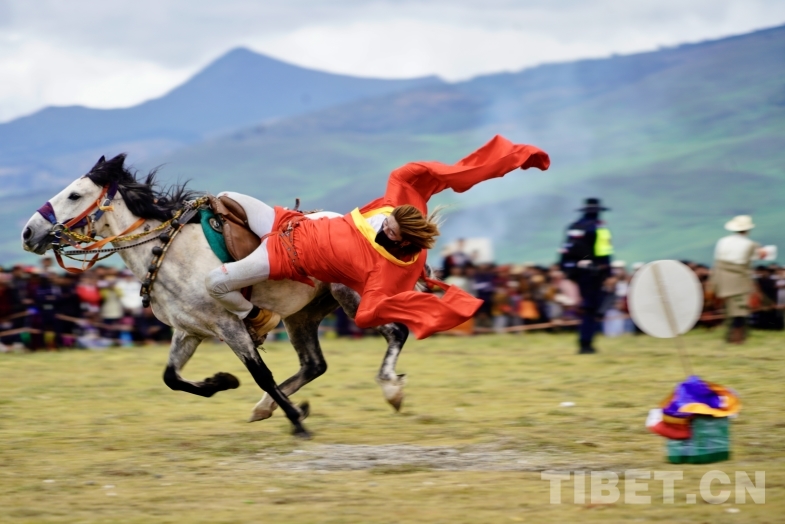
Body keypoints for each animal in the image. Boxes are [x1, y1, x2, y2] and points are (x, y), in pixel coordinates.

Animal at [21, 154, 410, 438]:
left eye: (74, 195)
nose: (28, 232)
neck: (169, 253)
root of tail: (374, 228)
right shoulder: (189, 331)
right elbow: (172, 378)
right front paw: (222, 382)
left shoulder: (230, 326)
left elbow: (261, 373)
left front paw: (298, 422)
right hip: (303, 314)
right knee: (314, 363)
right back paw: (265, 406)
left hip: (352, 297)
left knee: (397, 332)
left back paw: (391, 389)